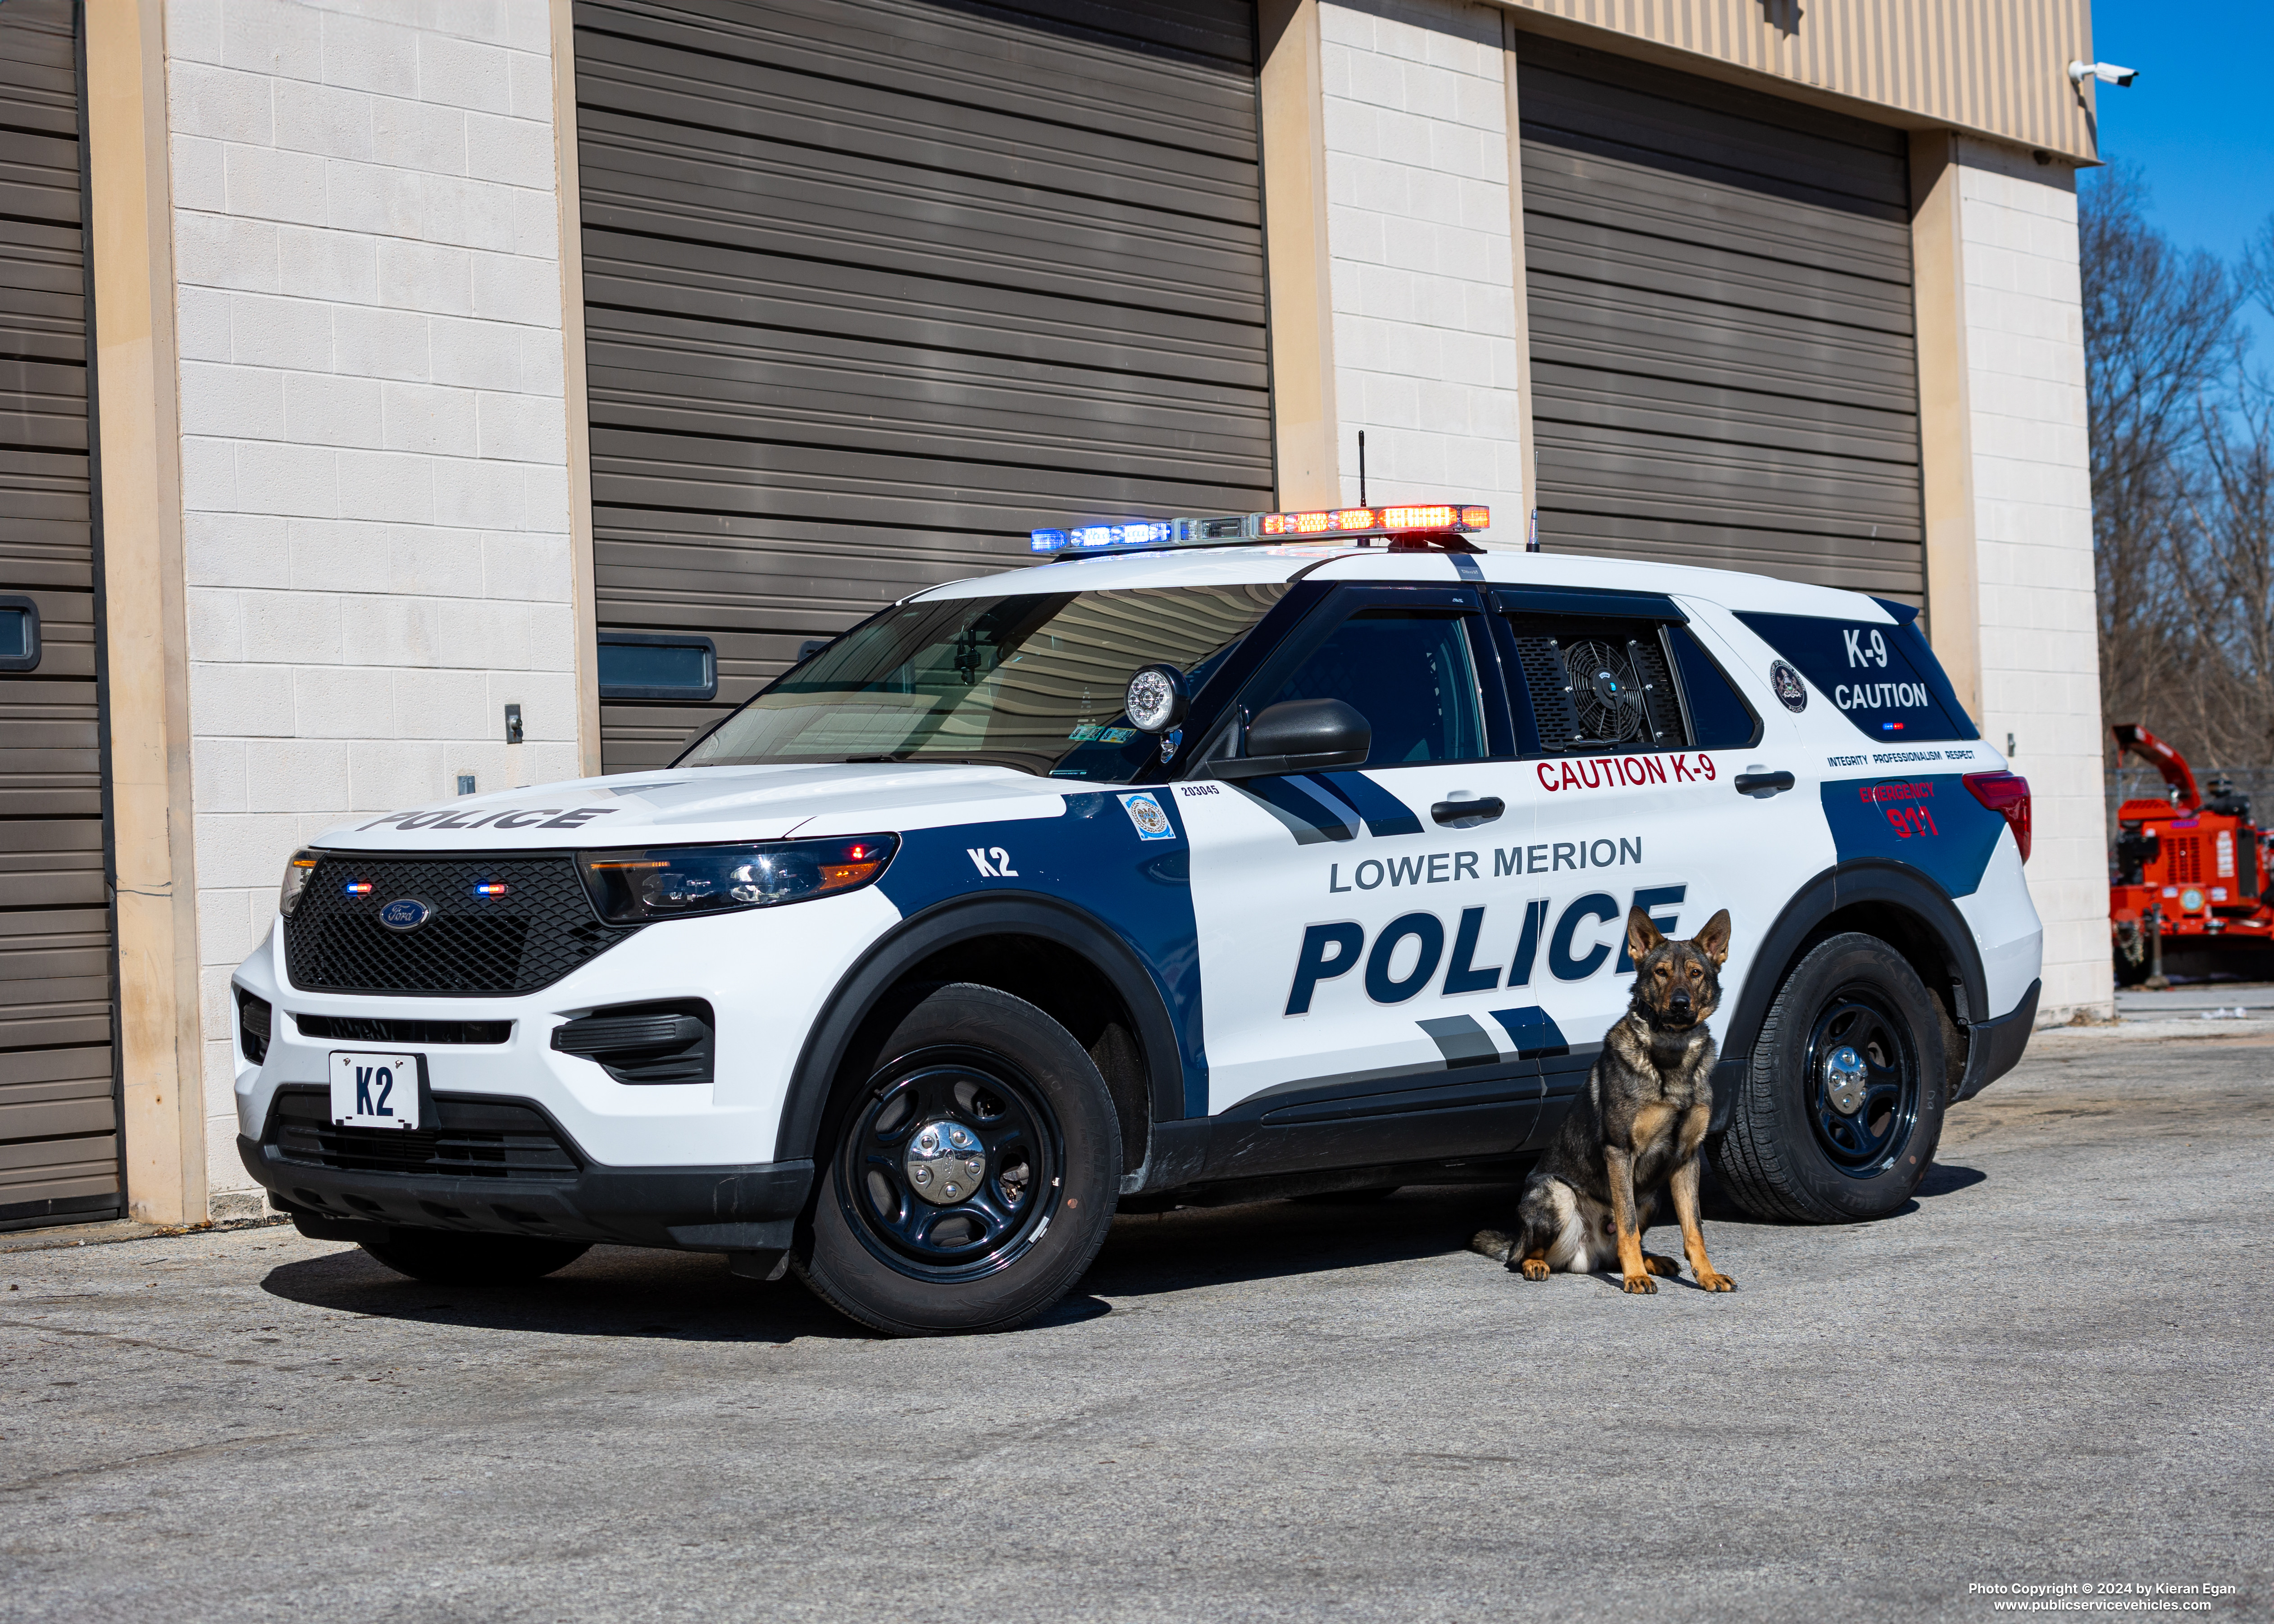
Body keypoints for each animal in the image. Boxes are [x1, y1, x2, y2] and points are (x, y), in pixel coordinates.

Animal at [1464, 896, 1728, 1292]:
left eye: (1696, 973)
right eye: (1661, 972)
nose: (1681, 1004)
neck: (1671, 1053)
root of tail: (1587, 1255)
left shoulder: (1686, 1158)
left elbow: (1693, 1228)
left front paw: (1706, 1274)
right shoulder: (1619, 1151)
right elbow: (1628, 1226)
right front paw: (1634, 1277)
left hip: (1650, 1196)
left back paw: (1651, 1260)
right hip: (1555, 1193)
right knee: (1522, 1255)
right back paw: (1539, 1264)